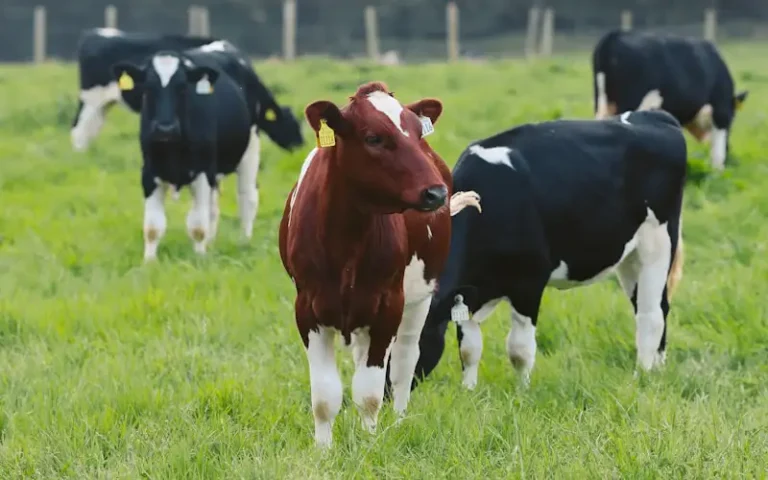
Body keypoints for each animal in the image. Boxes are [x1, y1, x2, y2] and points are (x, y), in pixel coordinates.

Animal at [71, 28, 303, 153]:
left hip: (102, 104)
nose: (300, 146)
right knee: (78, 131)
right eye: (292, 125)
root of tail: (95, 34)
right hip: (91, 100)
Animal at [111, 48, 264, 261]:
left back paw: (244, 242)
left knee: (247, 197)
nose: (165, 128)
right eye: (148, 88)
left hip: (250, 149)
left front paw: (199, 259)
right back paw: (212, 244)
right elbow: (152, 227)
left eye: (182, 87)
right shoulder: (149, 173)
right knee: (213, 209)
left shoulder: (202, 172)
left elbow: (198, 226)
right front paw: (149, 262)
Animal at [278, 81, 481, 448]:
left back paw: (399, 420)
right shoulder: (307, 309)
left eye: (417, 132)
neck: (347, 238)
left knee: (403, 363)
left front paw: (370, 442)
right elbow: (324, 395)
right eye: (373, 138)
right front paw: (323, 449)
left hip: (418, 298)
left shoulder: (388, 305)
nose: (436, 193)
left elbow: (370, 391)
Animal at [408, 109, 687, 393]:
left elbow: (519, 349)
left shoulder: (529, 282)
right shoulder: (466, 292)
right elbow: (469, 347)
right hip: (630, 258)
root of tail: (654, 115)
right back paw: (657, 368)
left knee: (650, 314)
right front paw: (469, 391)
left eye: (412, 339)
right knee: (659, 306)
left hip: (657, 243)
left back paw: (641, 375)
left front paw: (522, 392)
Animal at [592, 29, 748, 171]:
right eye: (733, 119)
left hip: (602, 102)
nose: (731, 153)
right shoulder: (721, 112)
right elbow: (718, 152)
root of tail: (615, 34)